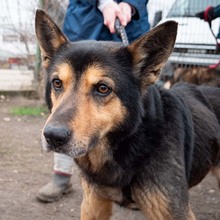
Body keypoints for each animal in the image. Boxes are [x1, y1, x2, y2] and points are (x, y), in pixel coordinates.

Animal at [35, 9, 220, 220]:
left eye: (103, 88)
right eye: (57, 83)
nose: (52, 136)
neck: (134, 139)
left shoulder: (175, 212)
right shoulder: (93, 204)